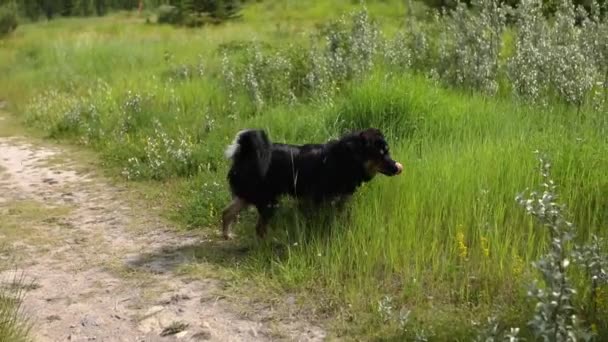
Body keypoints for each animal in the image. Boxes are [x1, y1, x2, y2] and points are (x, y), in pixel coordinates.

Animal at [221, 127, 402, 239]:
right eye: (381, 154)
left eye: (387, 152)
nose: (397, 167)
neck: (347, 158)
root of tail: (244, 154)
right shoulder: (318, 199)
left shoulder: (338, 200)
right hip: (268, 201)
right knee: (258, 228)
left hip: (248, 196)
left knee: (227, 212)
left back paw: (227, 235)